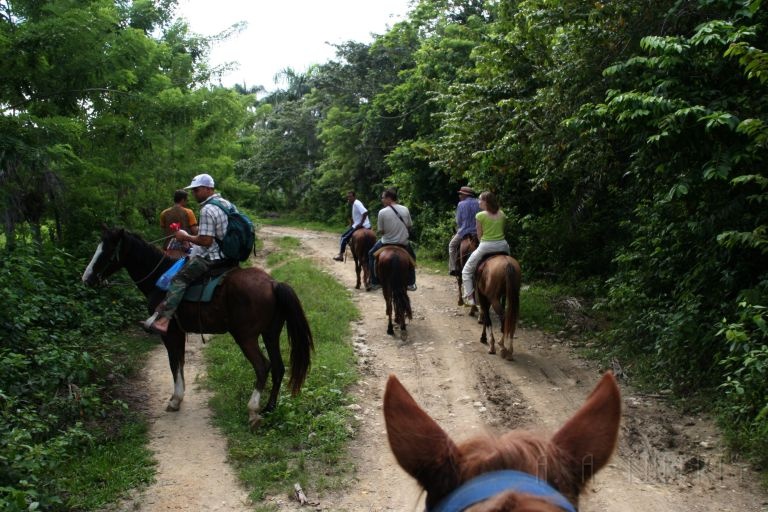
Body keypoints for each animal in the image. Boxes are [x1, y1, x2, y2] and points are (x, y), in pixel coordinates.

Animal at [82, 228, 314, 428]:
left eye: (107, 251)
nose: (87, 278)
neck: (160, 277)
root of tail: (273, 284)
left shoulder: (170, 333)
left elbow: (174, 363)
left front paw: (175, 400)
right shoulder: (180, 333)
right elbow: (180, 361)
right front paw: (178, 396)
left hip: (245, 336)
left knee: (262, 366)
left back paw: (253, 411)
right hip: (270, 333)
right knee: (278, 367)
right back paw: (269, 408)